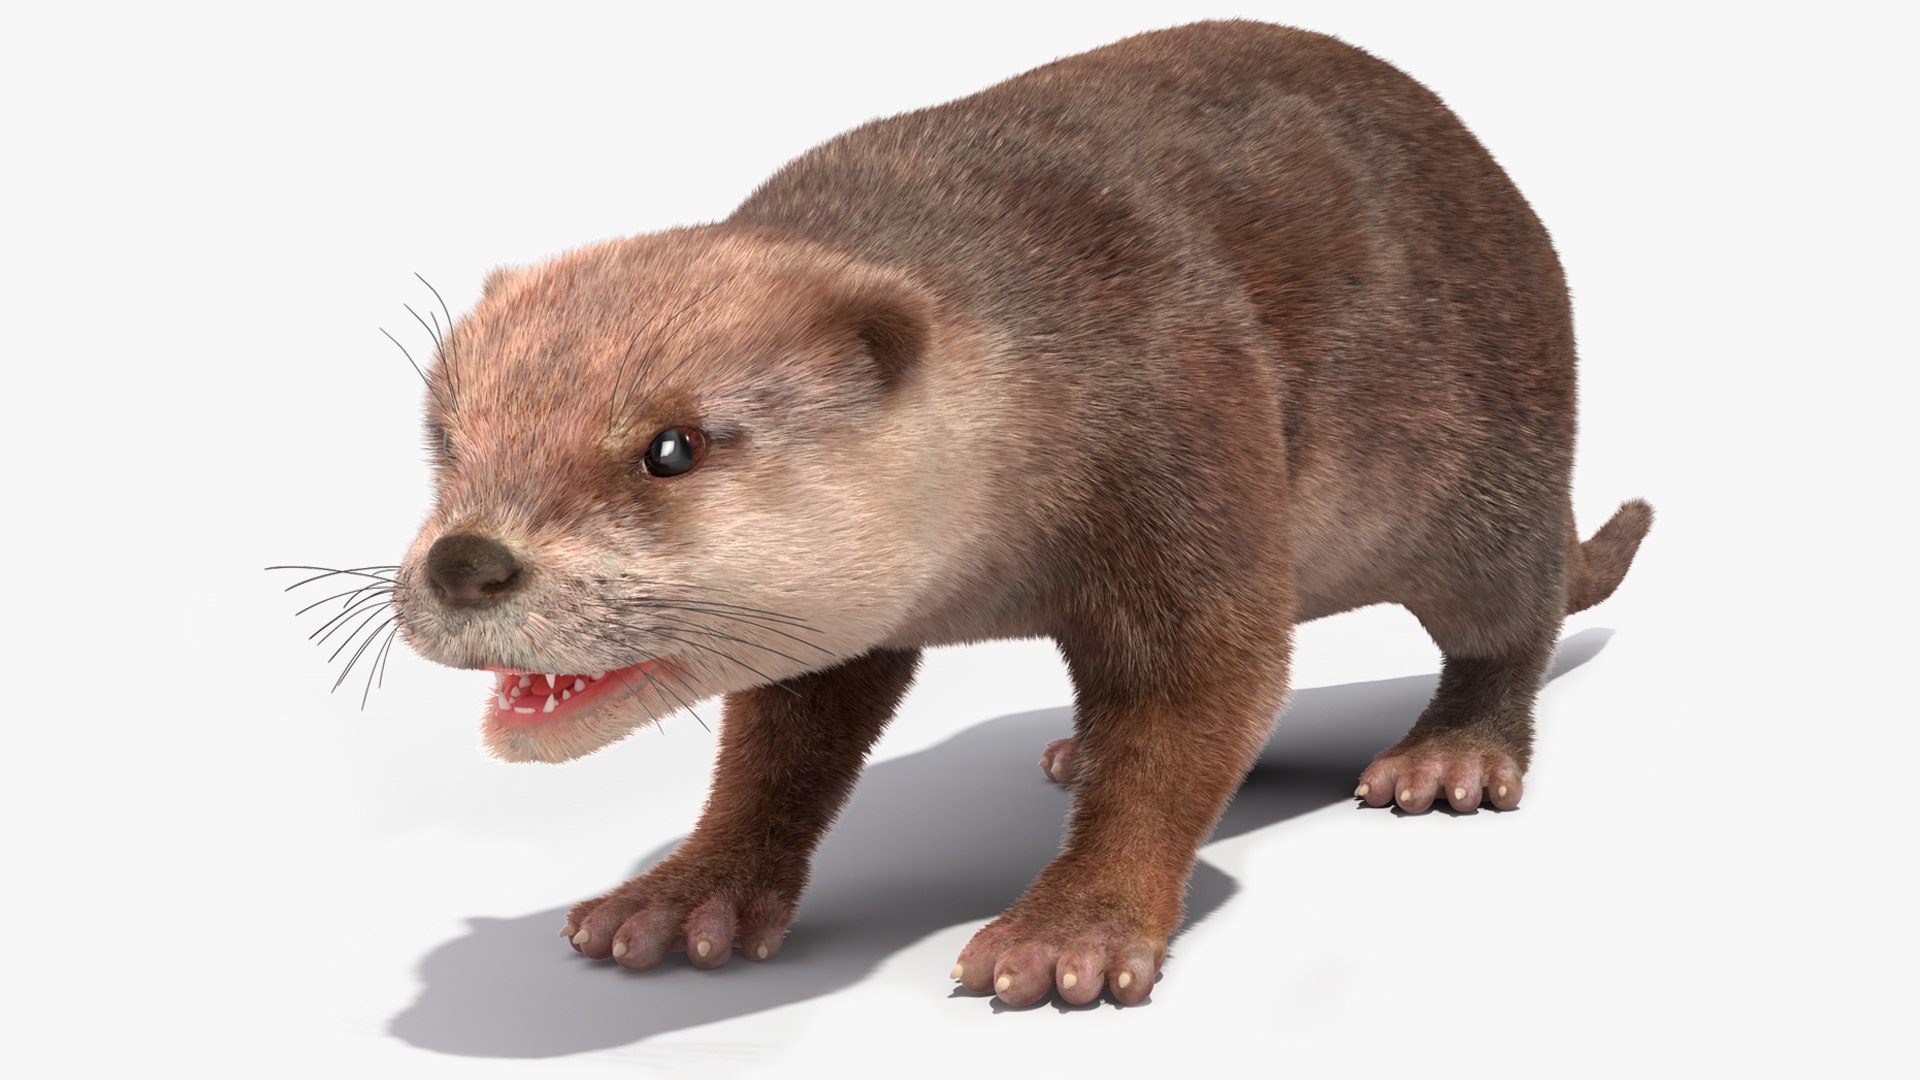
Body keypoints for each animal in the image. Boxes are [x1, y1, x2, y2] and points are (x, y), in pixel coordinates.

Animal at [388, 20, 1651, 1007]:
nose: (465, 561)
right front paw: (686, 892)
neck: (1038, 355)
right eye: (445, 434)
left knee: (1513, 615)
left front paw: (1069, 935)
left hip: (1490, 461)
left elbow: (1202, 687)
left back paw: (1449, 757)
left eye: (670, 447)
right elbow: (786, 734)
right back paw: (1074, 749)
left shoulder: (1178, 417)